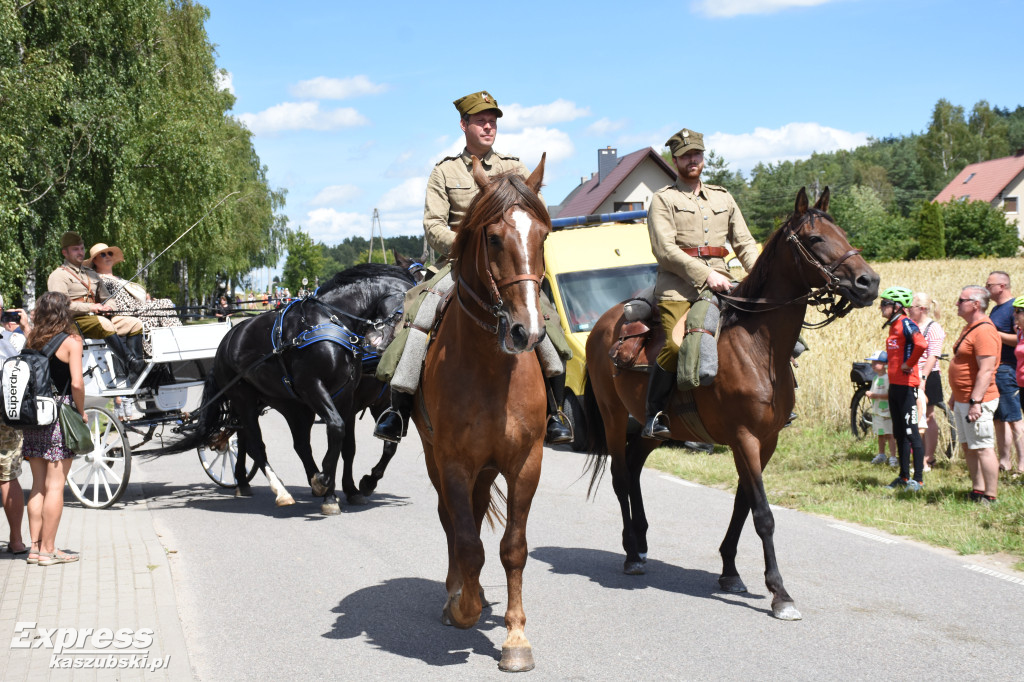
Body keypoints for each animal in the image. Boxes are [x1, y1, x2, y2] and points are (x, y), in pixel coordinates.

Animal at [178, 262, 413, 512]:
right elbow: (337, 431)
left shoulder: (351, 396)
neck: (331, 321)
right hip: (244, 399)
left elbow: (352, 444)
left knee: (293, 443)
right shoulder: (313, 386)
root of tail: (225, 341)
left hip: (289, 404)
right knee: (255, 445)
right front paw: (330, 485)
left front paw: (338, 489)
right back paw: (279, 490)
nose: (384, 346)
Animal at [411, 151, 548, 667]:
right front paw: (462, 607)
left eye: (543, 235)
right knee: (452, 520)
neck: (492, 369)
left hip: (488, 468)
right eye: (493, 238)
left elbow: (513, 548)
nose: (527, 331)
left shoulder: (525, 462)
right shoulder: (452, 460)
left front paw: (515, 637)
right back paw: (457, 592)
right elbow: (468, 543)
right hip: (437, 458)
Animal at [581, 188, 876, 618]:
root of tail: (603, 324)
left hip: (653, 430)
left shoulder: (765, 441)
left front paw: (730, 572)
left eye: (843, 232)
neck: (758, 346)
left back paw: (643, 540)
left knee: (634, 468)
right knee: (621, 476)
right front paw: (780, 593)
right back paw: (632, 553)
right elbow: (763, 514)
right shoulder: (745, 438)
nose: (869, 282)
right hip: (614, 417)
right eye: (815, 238)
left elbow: (742, 505)